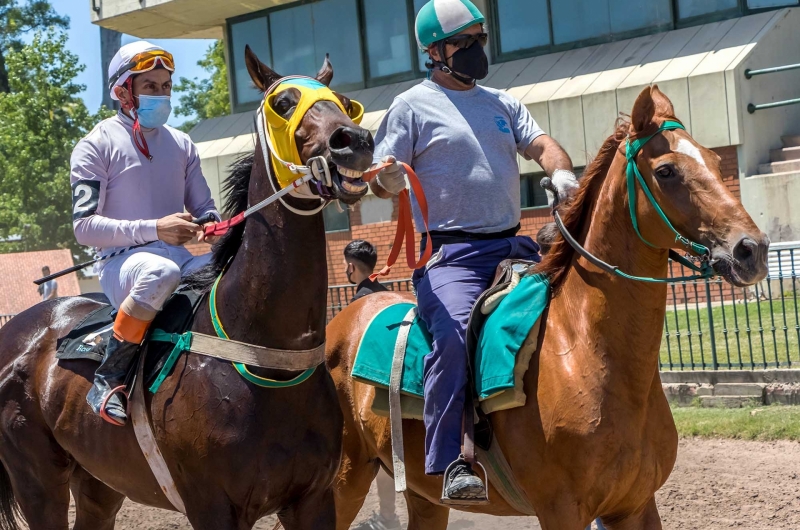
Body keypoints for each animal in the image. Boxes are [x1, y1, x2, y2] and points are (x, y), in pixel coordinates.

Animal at [0, 46, 372, 528]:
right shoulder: (211, 505)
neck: (265, 352)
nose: (354, 141)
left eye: (345, 103)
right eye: (284, 102)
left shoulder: (313, 498)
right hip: (37, 480)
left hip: (98, 479)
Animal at [324, 86, 768, 528]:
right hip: (345, 482)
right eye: (666, 171)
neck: (586, 350)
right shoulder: (561, 510)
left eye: (715, 160)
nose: (752, 249)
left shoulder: (636, 506)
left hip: (424, 498)